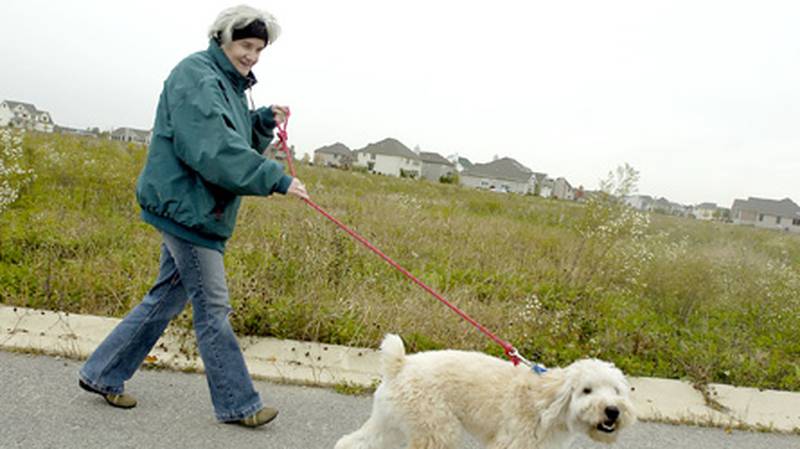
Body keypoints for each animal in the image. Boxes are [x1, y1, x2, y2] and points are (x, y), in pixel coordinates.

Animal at [334, 334, 636, 446]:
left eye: (616, 391)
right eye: (587, 390)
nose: (612, 411)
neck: (548, 405)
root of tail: (400, 364)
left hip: (391, 424)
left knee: (351, 442)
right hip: (436, 430)